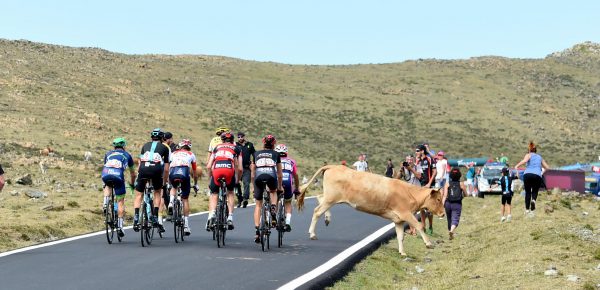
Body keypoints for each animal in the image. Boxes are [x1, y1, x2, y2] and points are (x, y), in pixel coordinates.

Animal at [296, 165, 446, 256]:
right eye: (439, 199)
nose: (443, 213)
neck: (410, 192)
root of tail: (333, 166)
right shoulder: (406, 213)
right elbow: (420, 226)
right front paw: (428, 243)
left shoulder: (398, 220)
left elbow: (400, 236)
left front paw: (402, 252)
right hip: (331, 197)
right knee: (317, 211)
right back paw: (312, 233)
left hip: (330, 197)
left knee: (319, 198)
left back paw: (327, 218)